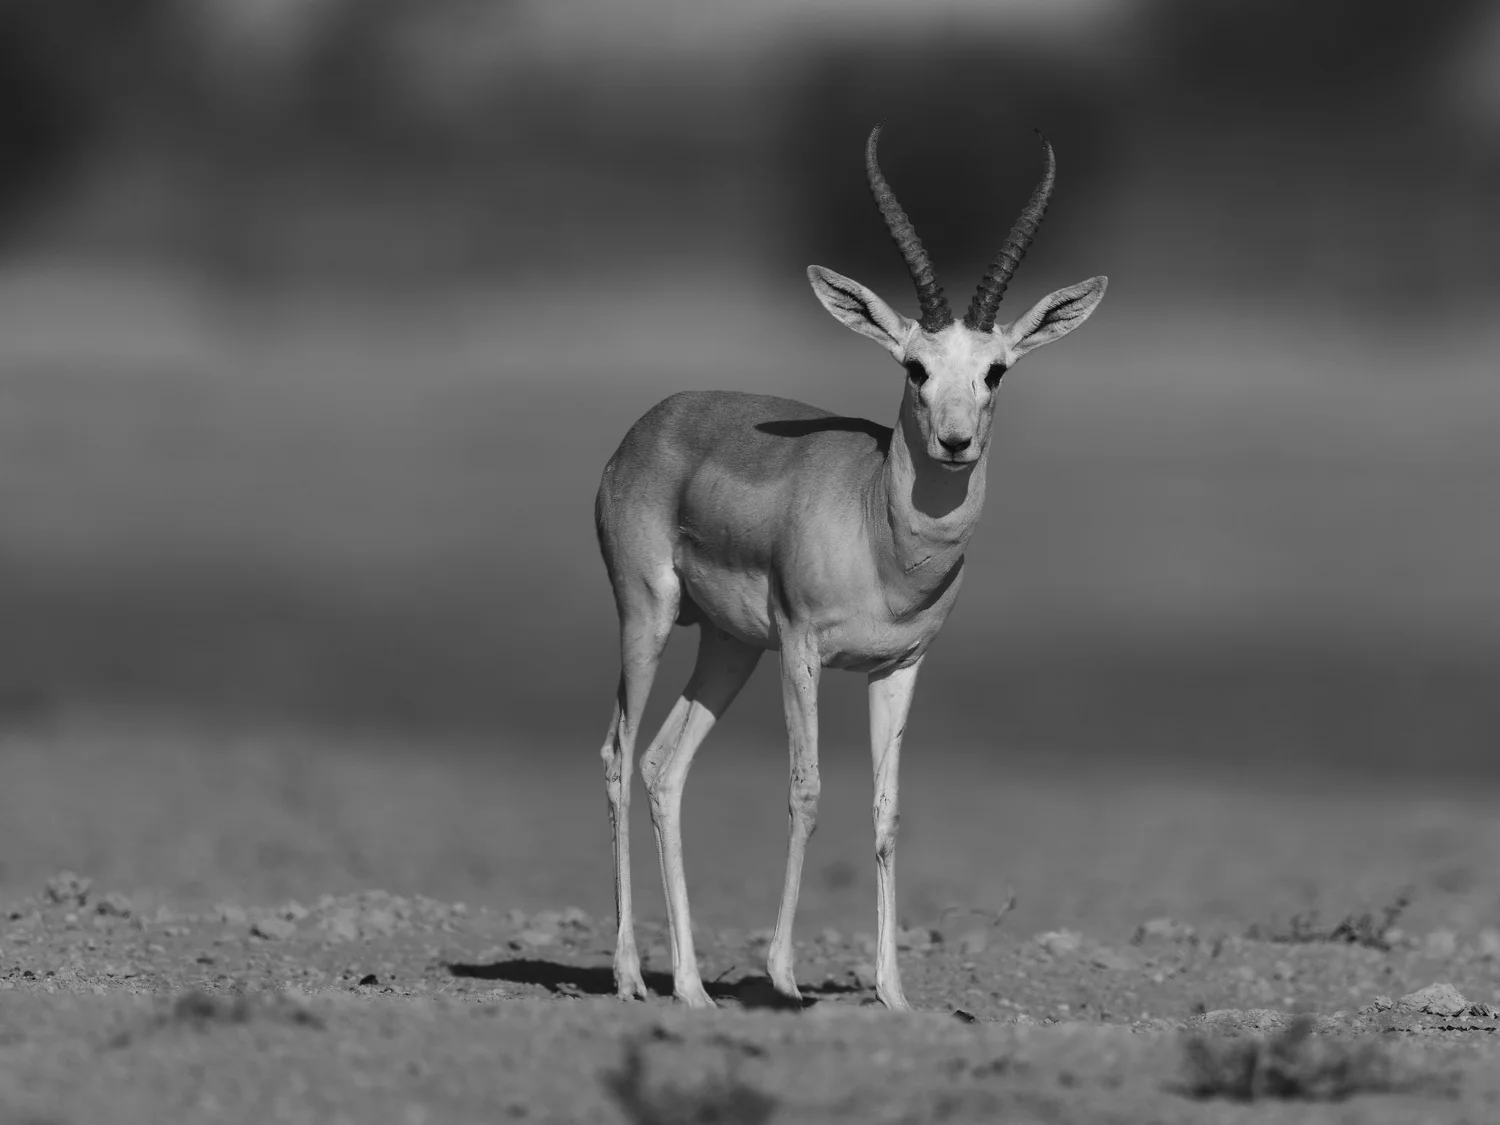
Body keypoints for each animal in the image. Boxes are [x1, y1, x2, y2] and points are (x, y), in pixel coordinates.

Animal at [595, 124, 1107, 1010]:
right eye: (915, 368)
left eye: (996, 370)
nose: (955, 442)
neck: (881, 534)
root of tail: (645, 428)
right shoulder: (803, 650)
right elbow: (806, 790)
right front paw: (783, 973)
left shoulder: (898, 666)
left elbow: (885, 809)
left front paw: (894, 993)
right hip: (649, 616)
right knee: (621, 756)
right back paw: (631, 974)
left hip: (730, 646)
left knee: (664, 767)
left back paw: (692, 987)